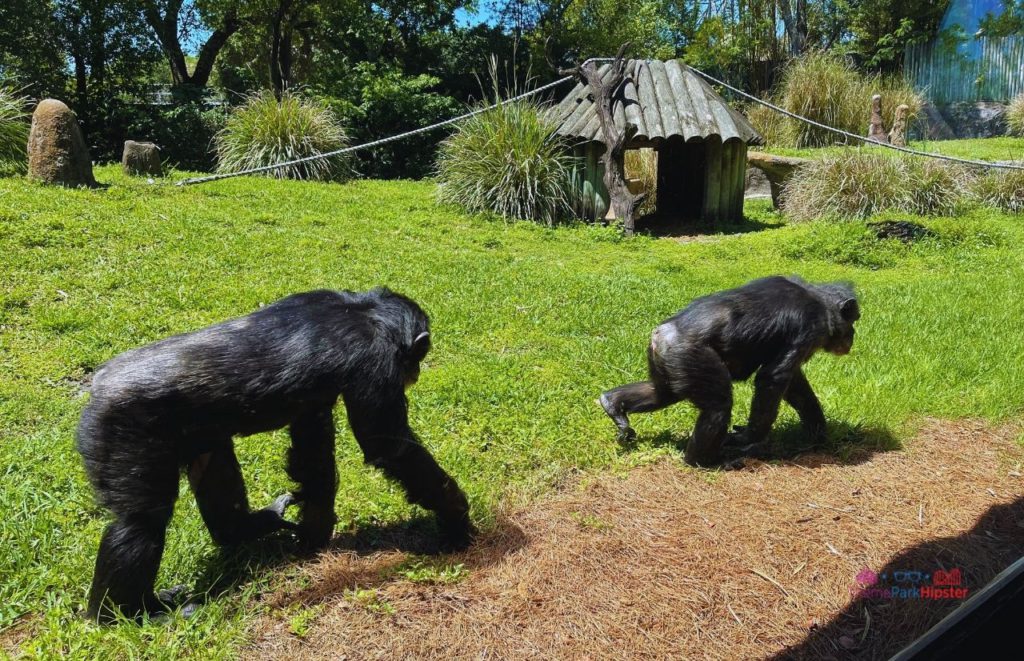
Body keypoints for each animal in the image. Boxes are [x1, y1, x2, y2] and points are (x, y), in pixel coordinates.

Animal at [76, 286, 475, 626]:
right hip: (123, 433)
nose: (416, 372)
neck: (365, 312)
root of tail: (98, 385)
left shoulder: (316, 402)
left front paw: (315, 535)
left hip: (197, 436)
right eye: (416, 357)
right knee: (140, 525)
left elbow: (313, 447)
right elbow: (389, 447)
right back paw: (128, 615)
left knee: (218, 485)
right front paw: (457, 513)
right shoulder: (376, 362)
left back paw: (251, 526)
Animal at [598, 276, 860, 468]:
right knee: (718, 406)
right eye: (854, 320)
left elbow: (795, 385)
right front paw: (750, 437)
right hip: (692, 356)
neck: (821, 302)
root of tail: (661, 334)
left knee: (661, 393)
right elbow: (773, 378)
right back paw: (705, 462)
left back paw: (613, 405)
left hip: (668, 362)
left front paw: (819, 433)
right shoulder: (811, 329)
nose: (853, 335)